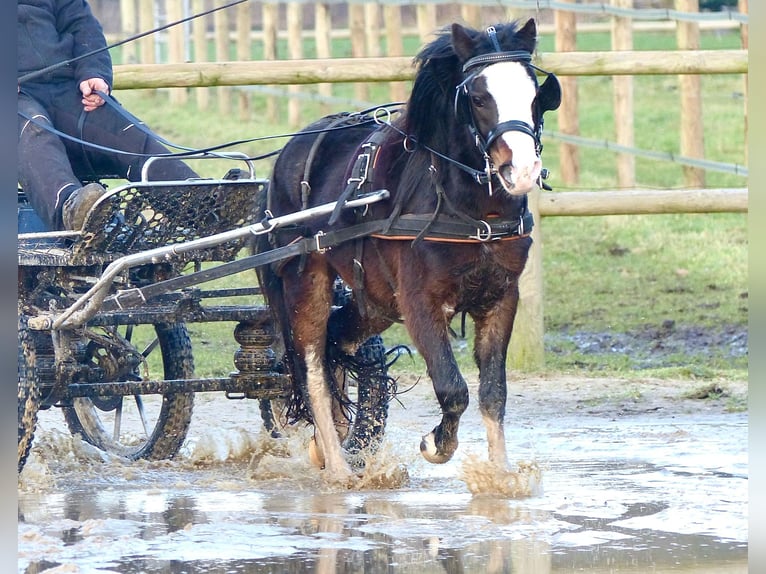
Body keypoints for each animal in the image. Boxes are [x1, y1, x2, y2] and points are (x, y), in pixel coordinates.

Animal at [258, 20, 564, 484]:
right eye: (479, 98)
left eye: (534, 94)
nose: (523, 170)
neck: (474, 213)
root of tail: (285, 158)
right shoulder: (420, 302)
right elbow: (453, 388)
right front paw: (437, 444)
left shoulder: (500, 298)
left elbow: (494, 392)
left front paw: (500, 475)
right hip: (305, 277)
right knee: (310, 366)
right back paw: (337, 467)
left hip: (376, 299)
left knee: (335, 341)